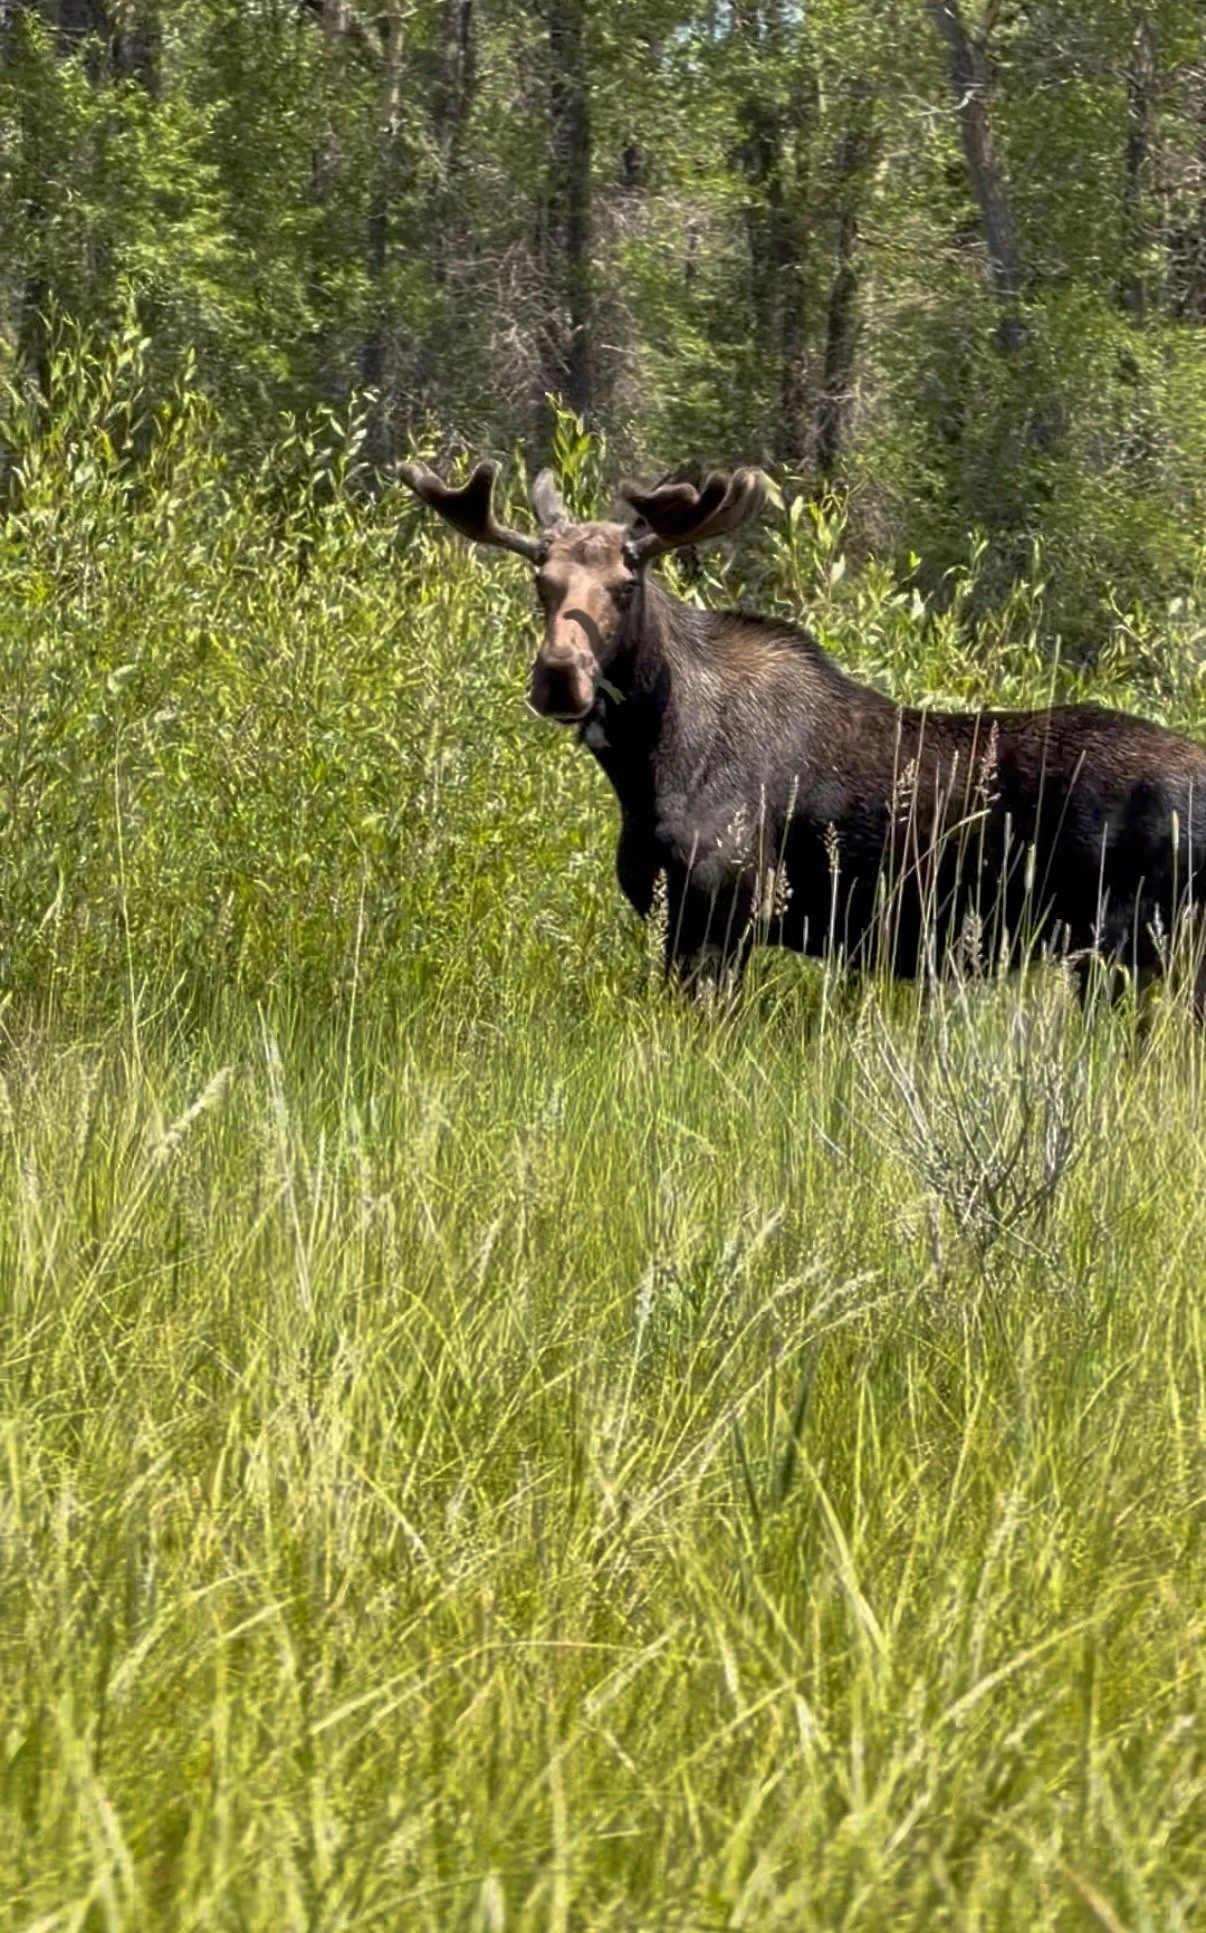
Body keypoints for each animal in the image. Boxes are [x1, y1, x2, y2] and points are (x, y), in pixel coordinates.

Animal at [398, 456, 1206, 1009]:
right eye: (543, 582)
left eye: (626, 586)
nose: (560, 676)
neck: (647, 765)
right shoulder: (675, 920)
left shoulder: (721, 915)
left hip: (1135, 944)